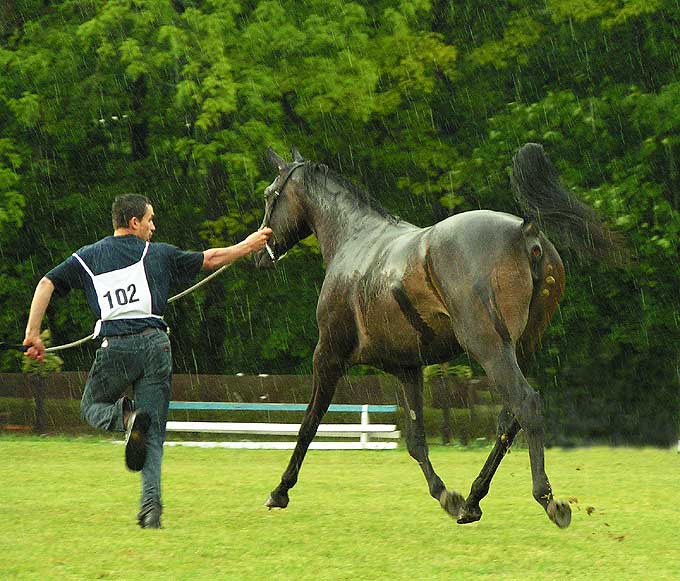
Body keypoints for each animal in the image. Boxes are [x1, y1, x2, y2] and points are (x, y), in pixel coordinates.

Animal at [255, 143, 616, 528]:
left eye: (269, 194)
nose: (261, 252)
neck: (355, 241)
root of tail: (525, 231)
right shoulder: (407, 369)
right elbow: (416, 440)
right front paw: (447, 496)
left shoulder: (328, 356)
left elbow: (308, 424)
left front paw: (280, 491)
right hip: (520, 349)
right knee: (509, 419)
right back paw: (472, 501)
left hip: (490, 349)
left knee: (526, 404)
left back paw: (548, 500)